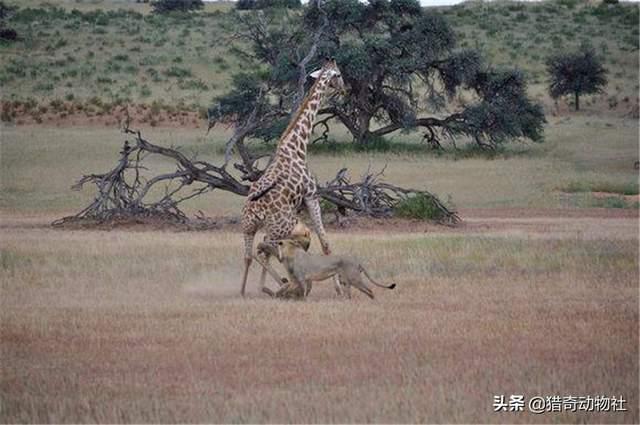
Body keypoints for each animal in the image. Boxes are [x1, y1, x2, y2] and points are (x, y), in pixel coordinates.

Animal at [240, 58, 344, 294]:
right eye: (339, 74)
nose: (345, 89)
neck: (297, 147)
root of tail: (254, 209)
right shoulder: (311, 197)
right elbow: (325, 242)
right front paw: (339, 288)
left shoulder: (300, 205)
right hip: (281, 227)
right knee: (265, 249)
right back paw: (280, 285)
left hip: (249, 228)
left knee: (250, 255)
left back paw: (250, 289)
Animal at [256, 238, 396, 298]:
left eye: (281, 241)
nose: (277, 241)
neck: (291, 253)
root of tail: (357, 261)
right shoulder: (297, 279)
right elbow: (286, 286)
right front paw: (279, 294)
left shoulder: (301, 279)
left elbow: (301, 290)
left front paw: (301, 299)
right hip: (346, 281)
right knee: (350, 294)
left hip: (354, 278)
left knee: (370, 290)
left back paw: (372, 300)